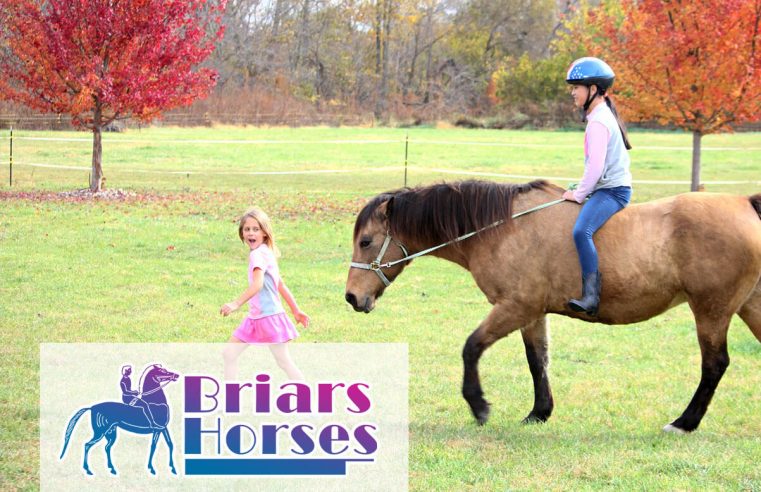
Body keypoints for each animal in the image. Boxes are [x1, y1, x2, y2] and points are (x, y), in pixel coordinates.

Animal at [345, 180, 761, 433]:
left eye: (366, 241)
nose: (351, 297)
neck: (503, 228)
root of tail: (744, 203)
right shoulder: (532, 313)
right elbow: (537, 361)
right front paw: (539, 412)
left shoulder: (515, 307)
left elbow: (471, 348)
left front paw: (479, 406)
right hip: (748, 307)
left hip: (711, 310)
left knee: (714, 364)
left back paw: (685, 422)